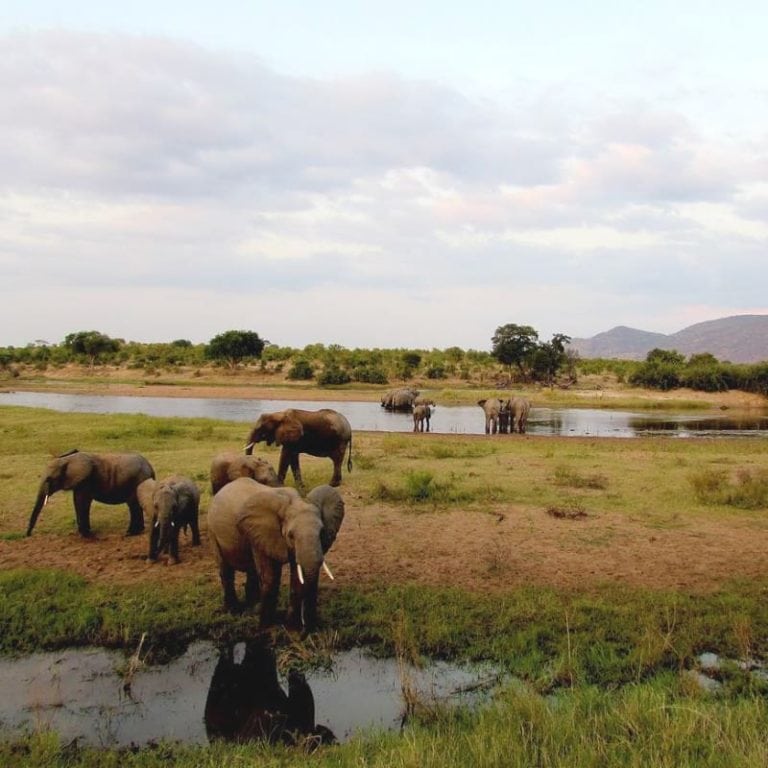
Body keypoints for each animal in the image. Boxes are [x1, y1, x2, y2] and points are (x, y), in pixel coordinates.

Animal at [27, 448, 156, 536]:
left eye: (49, 479)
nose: (28, 535)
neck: (68, 459)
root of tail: (151, 468)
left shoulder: (85, 480)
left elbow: (82, 502)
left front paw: (86, 535)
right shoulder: (78, 482)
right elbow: (77, 501)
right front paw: (82, 533)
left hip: (138, 481)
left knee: (133, 506)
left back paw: (130, 533)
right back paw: (135, 532)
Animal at [207, 476, 344, 632]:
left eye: (321, 532)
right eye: (290, 535)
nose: (308, 629)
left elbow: (296, 577)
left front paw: (292, 627)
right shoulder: (260, 532)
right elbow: (270, 577)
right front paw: (266, 627)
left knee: (252, 570)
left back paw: (253, 607)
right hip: (212, 531)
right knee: (226, 570)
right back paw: (234, 611)